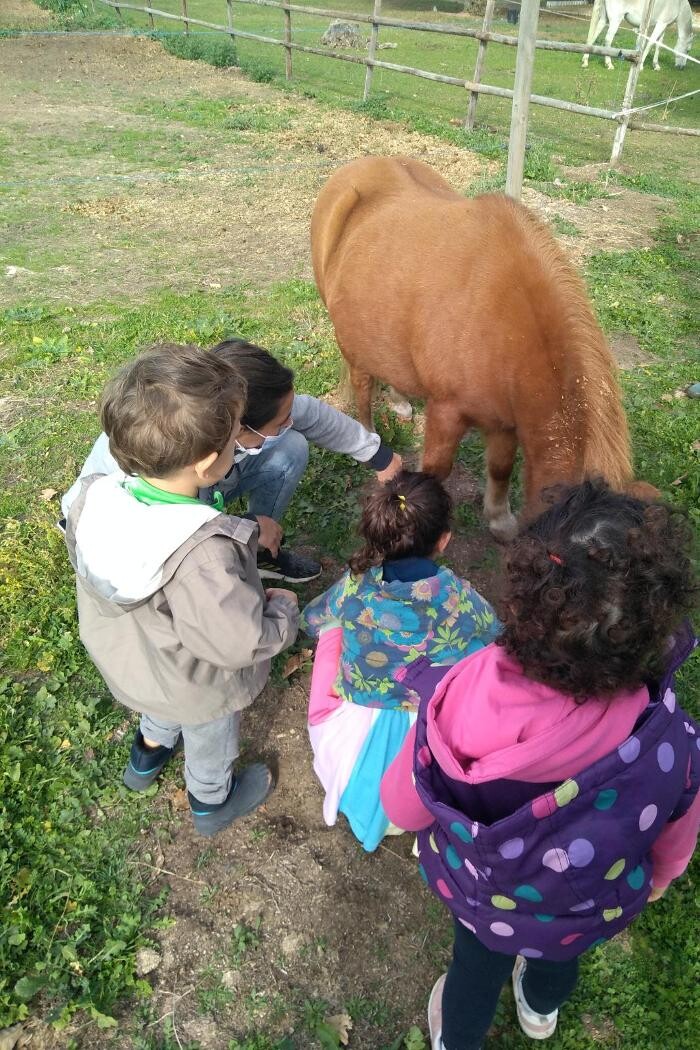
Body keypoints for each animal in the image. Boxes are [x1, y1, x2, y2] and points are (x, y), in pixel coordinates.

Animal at [312, 155, 650, 541]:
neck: (503, 319)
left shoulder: (505, 421)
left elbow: (501, 468)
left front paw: (499, 520)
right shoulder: (447, 412)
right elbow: (435, 474)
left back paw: (399, 401)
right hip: (350, 341)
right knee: (362, 386)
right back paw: (369, 440)